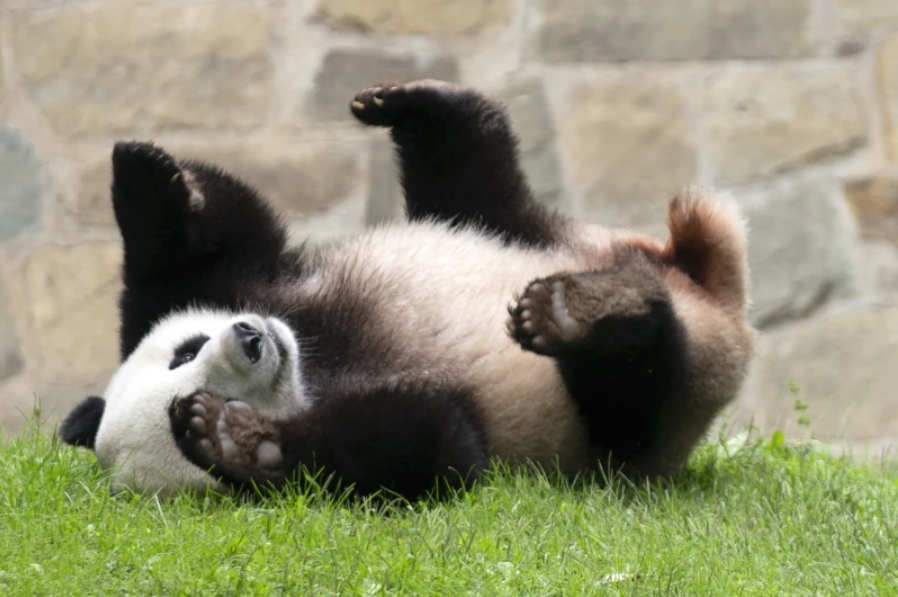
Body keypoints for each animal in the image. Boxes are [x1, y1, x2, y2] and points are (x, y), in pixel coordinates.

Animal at [59, 79, 752, 498]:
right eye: (200, 381)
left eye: (184, 351)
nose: (252, 339)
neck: (314, 361)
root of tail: (715, 298)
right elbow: (433, 447)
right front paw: (236, 441)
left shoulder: (257, 286)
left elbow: (214, 246)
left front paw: (144, 174)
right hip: (639, 424)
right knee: (635, 387)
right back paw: (584, 315)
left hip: (538, 233)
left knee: (476, 181)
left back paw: (416, 106)